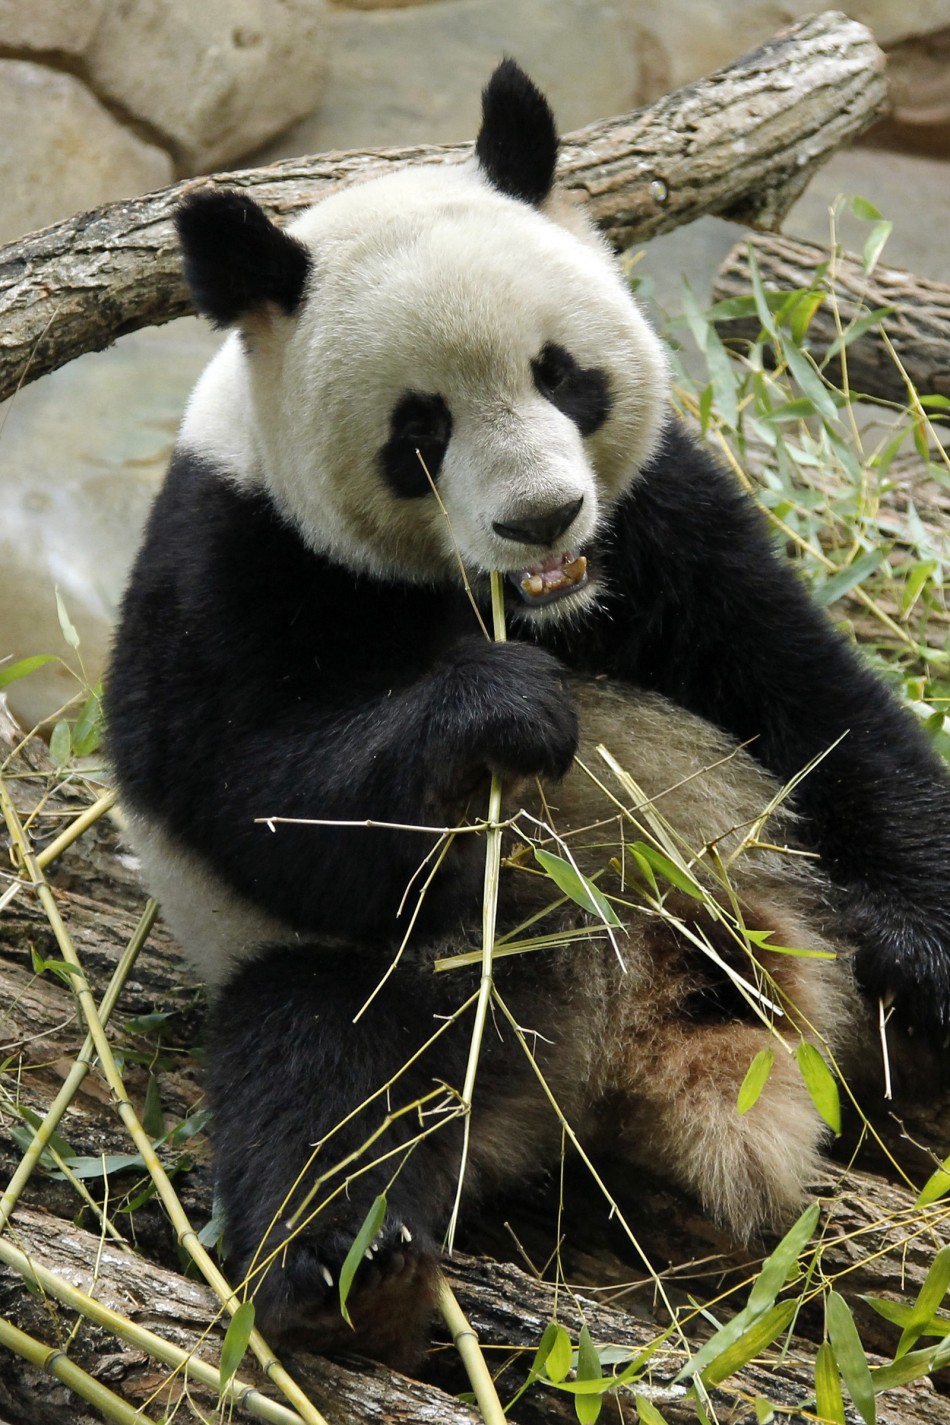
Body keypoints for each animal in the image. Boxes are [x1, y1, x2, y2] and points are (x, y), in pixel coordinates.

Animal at [107, 58, 950, 1368]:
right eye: (419, 430)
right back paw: (352, 1280)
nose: (542, 518)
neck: (528, 604)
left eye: (561, 373)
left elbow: (810, 701)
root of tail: (625, 1046)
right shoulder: (232, 562)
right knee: (335, 1078)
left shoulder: (661, 518)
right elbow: (265, 798)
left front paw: (918, 950)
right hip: (419, 982)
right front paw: (501, 714)